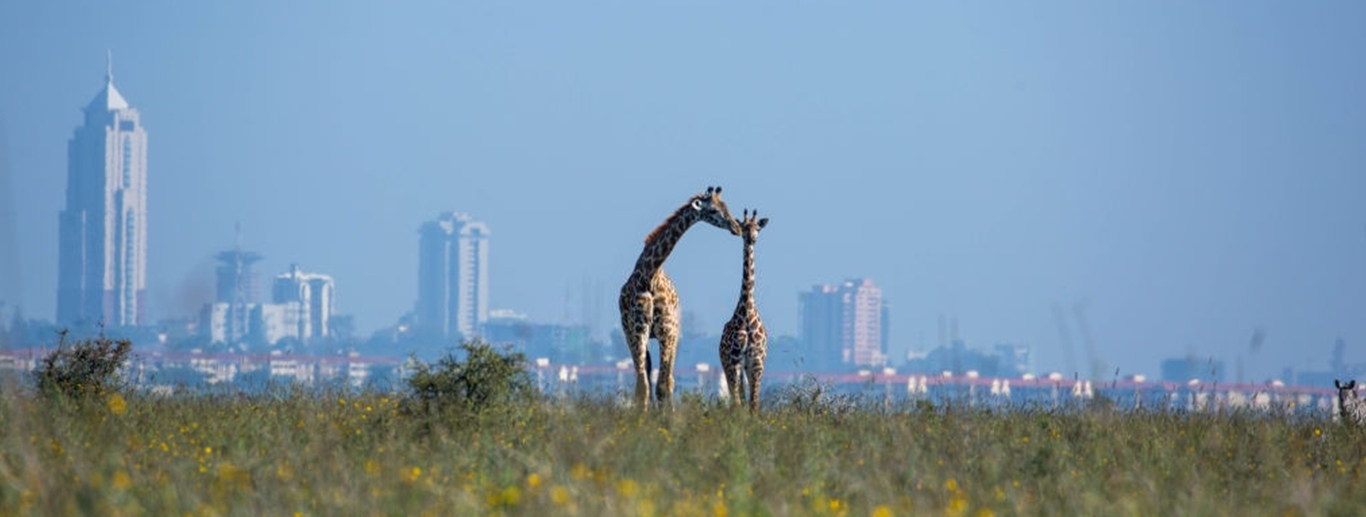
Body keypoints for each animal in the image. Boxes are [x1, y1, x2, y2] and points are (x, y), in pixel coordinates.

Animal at [622, 187, 743, 410]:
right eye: (713, 210)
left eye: (727, 207)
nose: (737, 228)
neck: (649, 275)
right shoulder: (638, 331)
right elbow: (643, 387)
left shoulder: (667, 331)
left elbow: (662, 385)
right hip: (634, 335)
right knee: (649, 378)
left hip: (673, 335)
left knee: (667, 380)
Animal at [715, 209, 770, 413]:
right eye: (744, 227)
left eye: (758, 228)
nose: (751, 239)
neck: (746, 310)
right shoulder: (734, 360)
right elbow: (739, 402)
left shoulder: (756, 361)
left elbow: (754, 403)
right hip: (728, 365)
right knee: (736, 397)